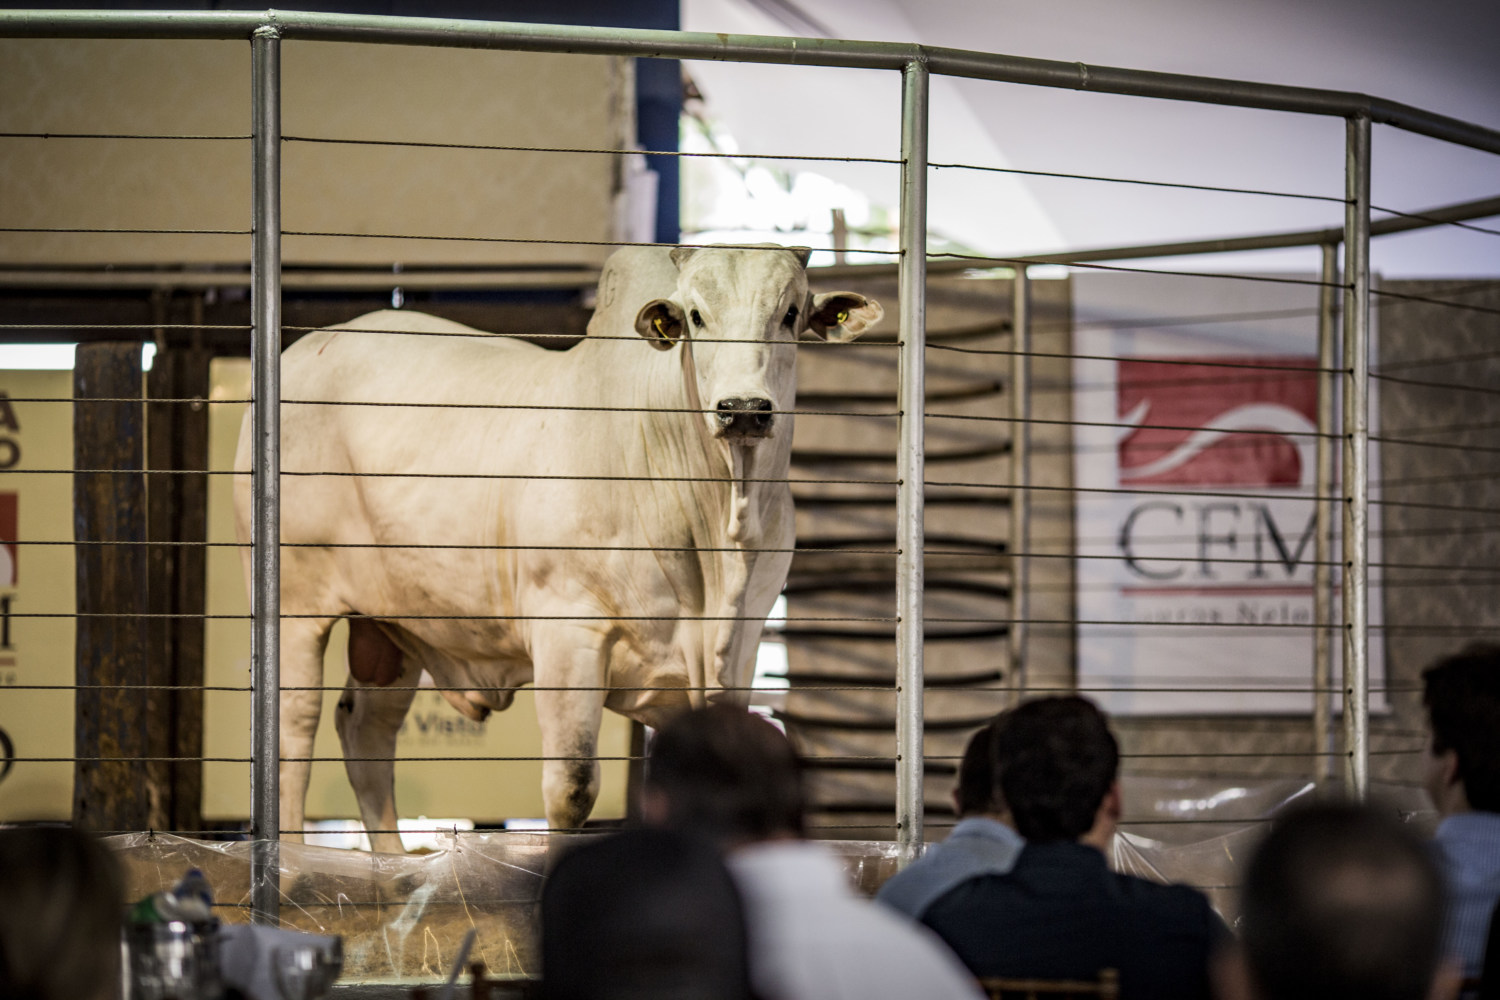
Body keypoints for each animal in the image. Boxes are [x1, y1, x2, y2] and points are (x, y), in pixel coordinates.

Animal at [232, 244, 876, 851]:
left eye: (790, 314)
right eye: (696, 315)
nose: (743, 410)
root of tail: (307, 350)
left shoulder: (738, 650)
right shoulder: (569, 634)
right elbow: (572, 787)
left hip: (395, 623)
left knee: (367, 729)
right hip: (294, 603)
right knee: (293, 732)